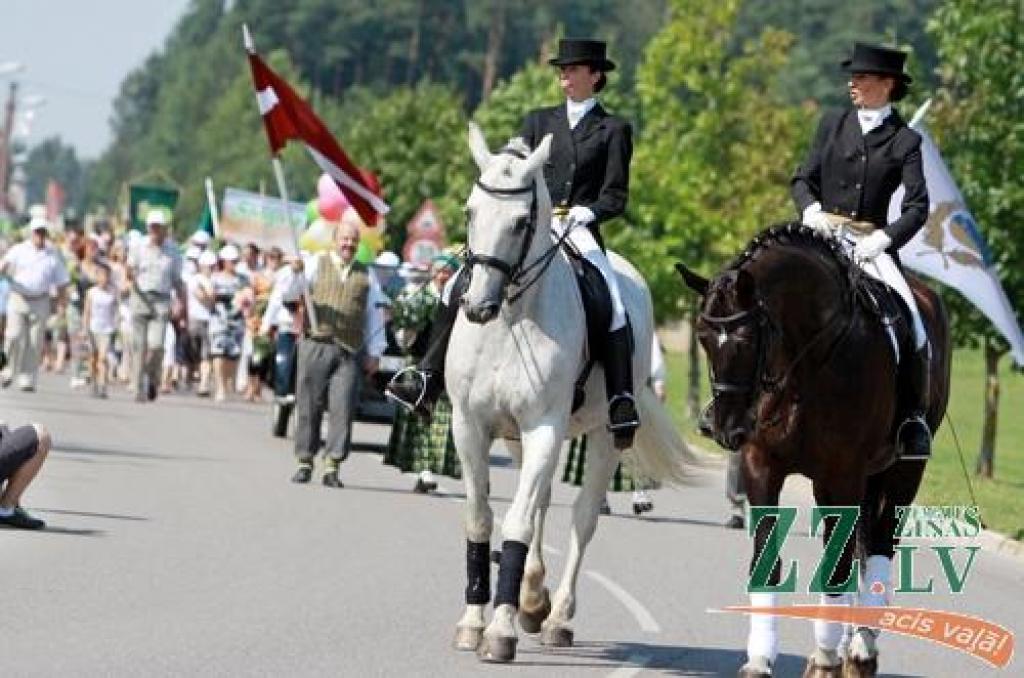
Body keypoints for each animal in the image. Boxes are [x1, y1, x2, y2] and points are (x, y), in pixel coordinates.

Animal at [452, 124, 700, 667]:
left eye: (521, 221)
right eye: (470, 211)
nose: (478, 307)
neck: (511, 321)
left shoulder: (544, 425)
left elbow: (518, 523)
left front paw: (499, 631)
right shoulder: (472, 426)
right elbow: (481, 519)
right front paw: (474, 621)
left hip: (603, 436)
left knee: (582, 517)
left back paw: (557, 617)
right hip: (523, 438)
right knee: (543, 501)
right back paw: (532, 600)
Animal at [679, 225, 950, 678]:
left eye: (747, 339)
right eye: (703, 337)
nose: (725, 428)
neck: (808, 358)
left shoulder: (843, 476)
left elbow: (837, 569)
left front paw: (825, 660)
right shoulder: (762, 466)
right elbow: (767, 561)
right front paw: (760, 658)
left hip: (901, 473)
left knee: (879, 546)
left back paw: (859, 651)